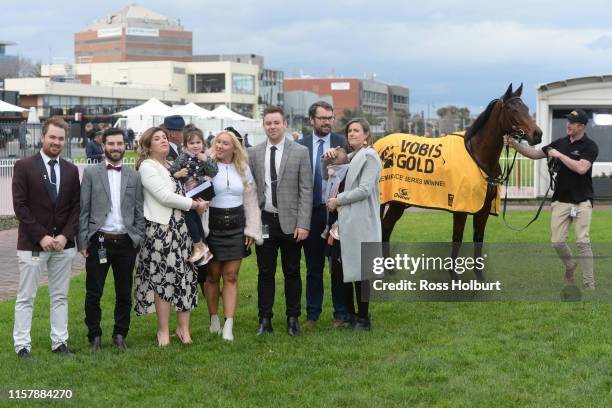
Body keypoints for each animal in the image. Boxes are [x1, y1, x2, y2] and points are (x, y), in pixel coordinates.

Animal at [380, 84, 544, 278]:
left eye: (526, 108)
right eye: (513, 110)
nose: (538, 134)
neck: (478, 157)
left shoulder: (483, 208)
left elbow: (478, 238)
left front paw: (479, 276)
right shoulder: (461, 207)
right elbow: (457, 238)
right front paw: (454, 275)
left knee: (386, 226)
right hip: (396, 201)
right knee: (386, 226)